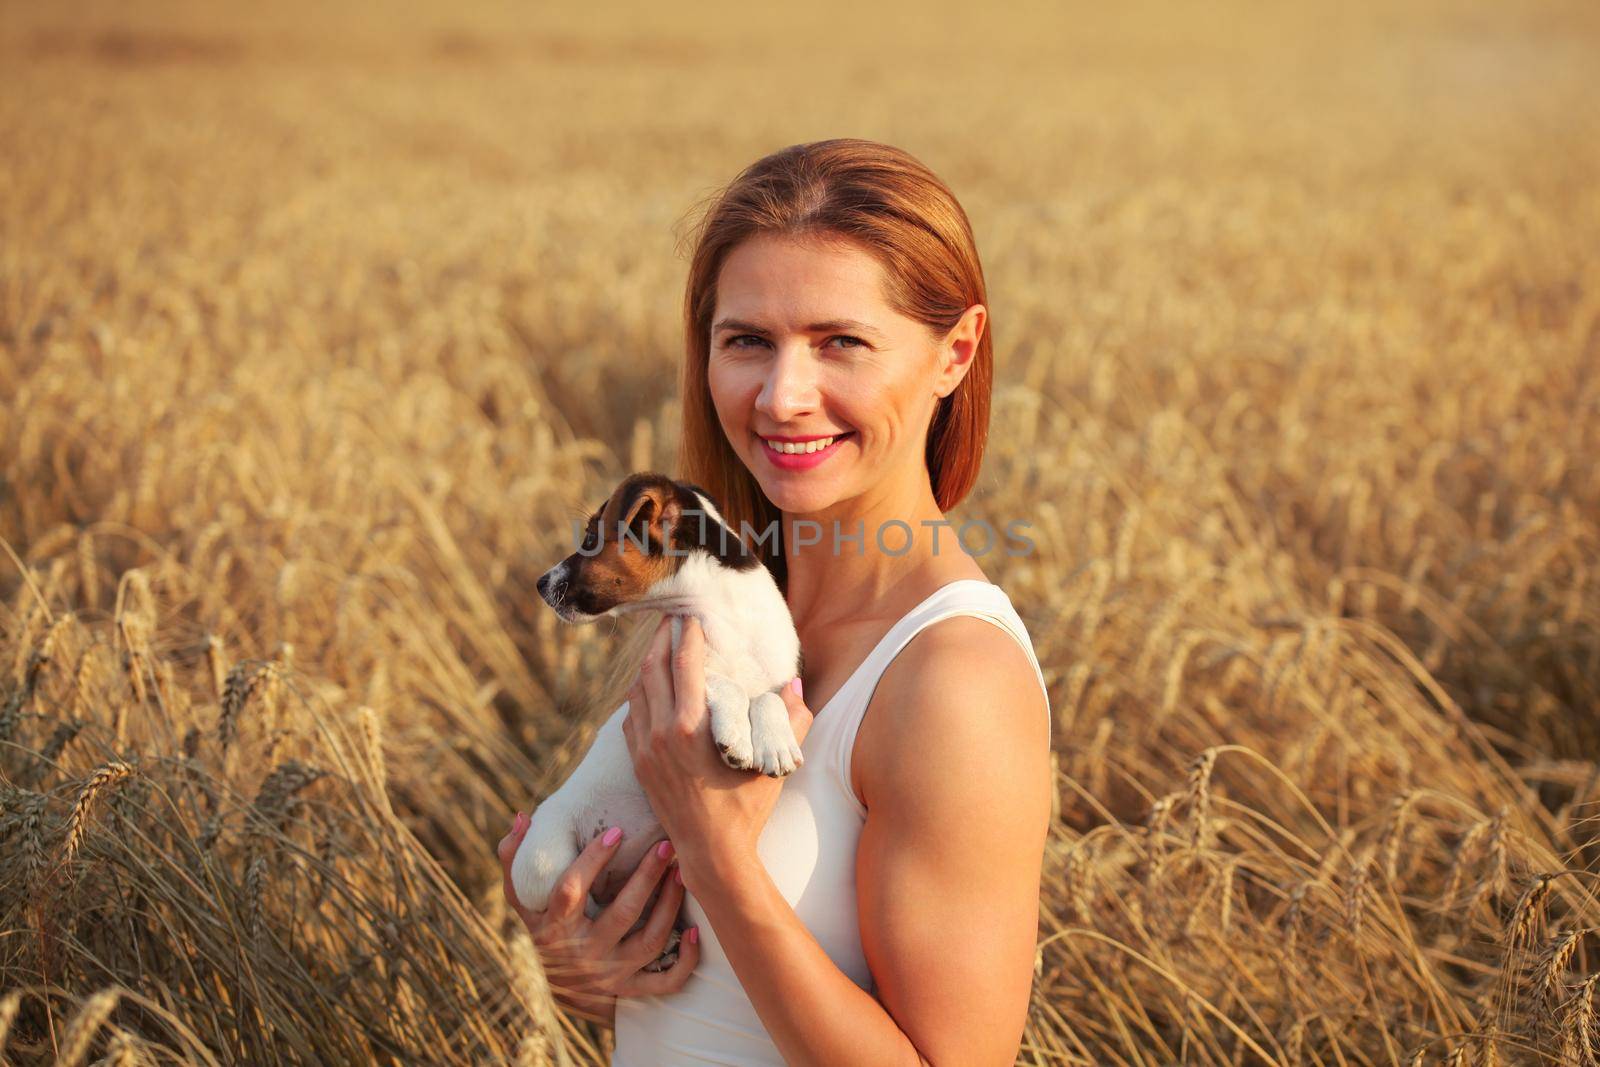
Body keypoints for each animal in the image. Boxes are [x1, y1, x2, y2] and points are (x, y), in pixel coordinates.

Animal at [508, 473, 800, 953]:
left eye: (590, 538)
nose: (540, 583)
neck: (727, 617)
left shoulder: (782, 680)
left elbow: (768, 698)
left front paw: (774, 743)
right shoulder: (678, 670)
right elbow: (725, 683)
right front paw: (737, 736)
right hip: (547, 863)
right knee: (587, 909)